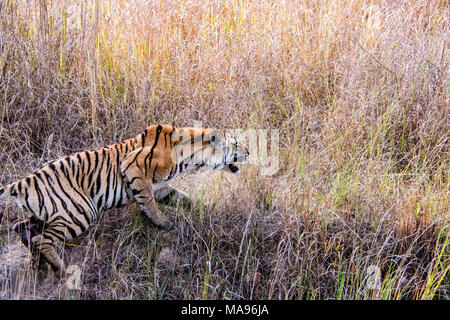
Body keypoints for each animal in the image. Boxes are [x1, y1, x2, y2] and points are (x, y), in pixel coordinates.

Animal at [0, 124, 250, 276]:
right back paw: (61, 268)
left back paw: (36, 262)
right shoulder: (133, 166)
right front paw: (161, 223)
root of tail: (25, 182)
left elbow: (184, 199)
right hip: (79, 212)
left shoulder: (162, 188)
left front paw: (202, 209)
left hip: (47, 214)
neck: (191, 156)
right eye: (236, 144)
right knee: (41, 239)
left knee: (21, 228)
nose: (249, 152)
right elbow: (148, 201)